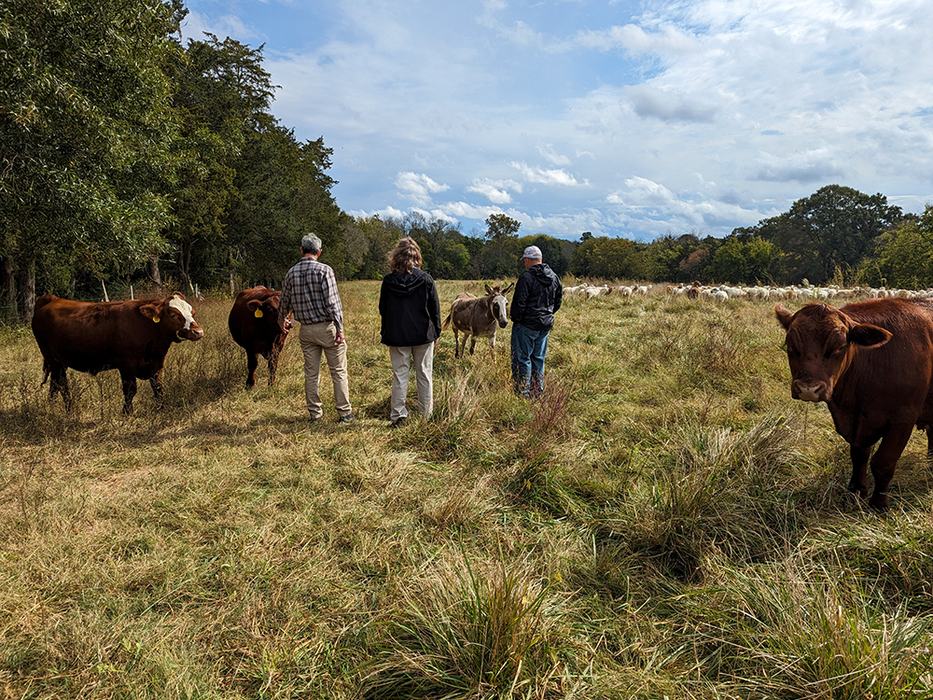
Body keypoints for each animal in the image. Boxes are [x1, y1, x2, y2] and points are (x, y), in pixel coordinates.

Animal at [32, 292, 204, 414]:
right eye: (174, 314)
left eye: (193, 312)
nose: (198, 332)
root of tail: (51, 299)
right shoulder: (126, 366)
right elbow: (130, 390)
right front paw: (127, 413)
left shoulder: (156, 364)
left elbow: (158, 388)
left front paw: (161, 409)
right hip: (54, 360)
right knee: (61, 385)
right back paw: (69, 411)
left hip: (59, 363)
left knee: (55, 384)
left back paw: (54, 408)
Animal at [775, 299, 933, 509]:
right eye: (790, 345)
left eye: (840, 346)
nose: (808, 388)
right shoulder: (855, 423)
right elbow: (859, 456)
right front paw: (856, 491)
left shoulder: (903, 419)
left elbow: (883, 462)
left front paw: (878, 504)